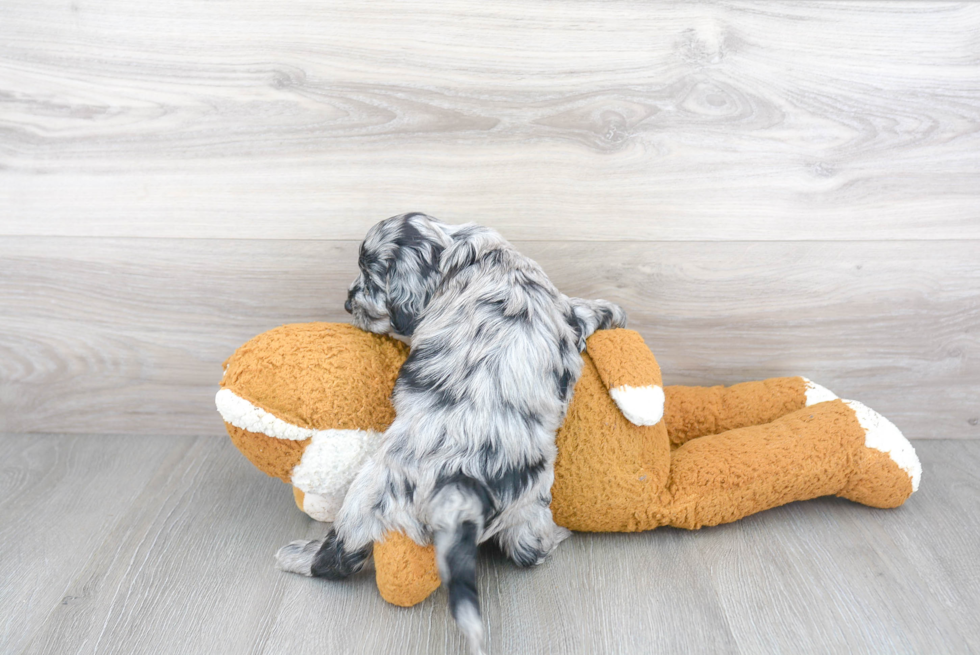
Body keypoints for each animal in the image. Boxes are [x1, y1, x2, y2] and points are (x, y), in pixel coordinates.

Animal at [276, 213, 628, 652]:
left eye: (370, 276)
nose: (346, 302)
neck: (460, 254)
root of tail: (458, 486)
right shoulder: (561, 310)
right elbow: (582, 309)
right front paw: (612, 309)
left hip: (370, 494)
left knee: (342, 552)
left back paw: (297, 555)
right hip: (530, 500)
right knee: (528, 550)